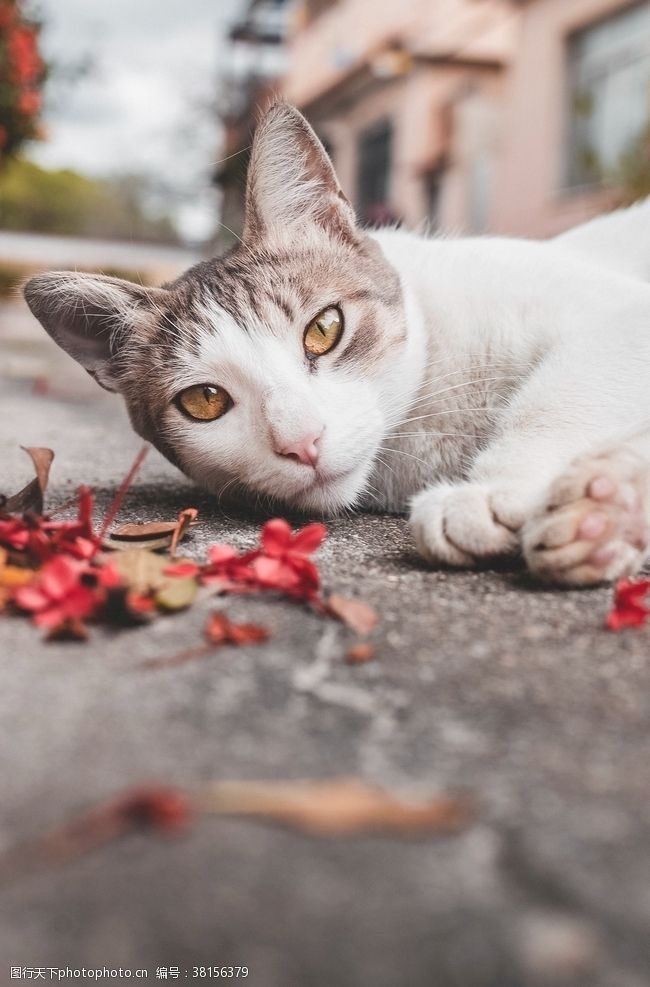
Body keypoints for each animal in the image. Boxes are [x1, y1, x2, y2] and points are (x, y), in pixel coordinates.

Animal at [22, 101, 648, 592]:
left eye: (324, 328)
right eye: (204, 401)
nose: (302, 443)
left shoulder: (620, 315)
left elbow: (559, 397)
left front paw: (496, 489)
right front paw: (610, 513)